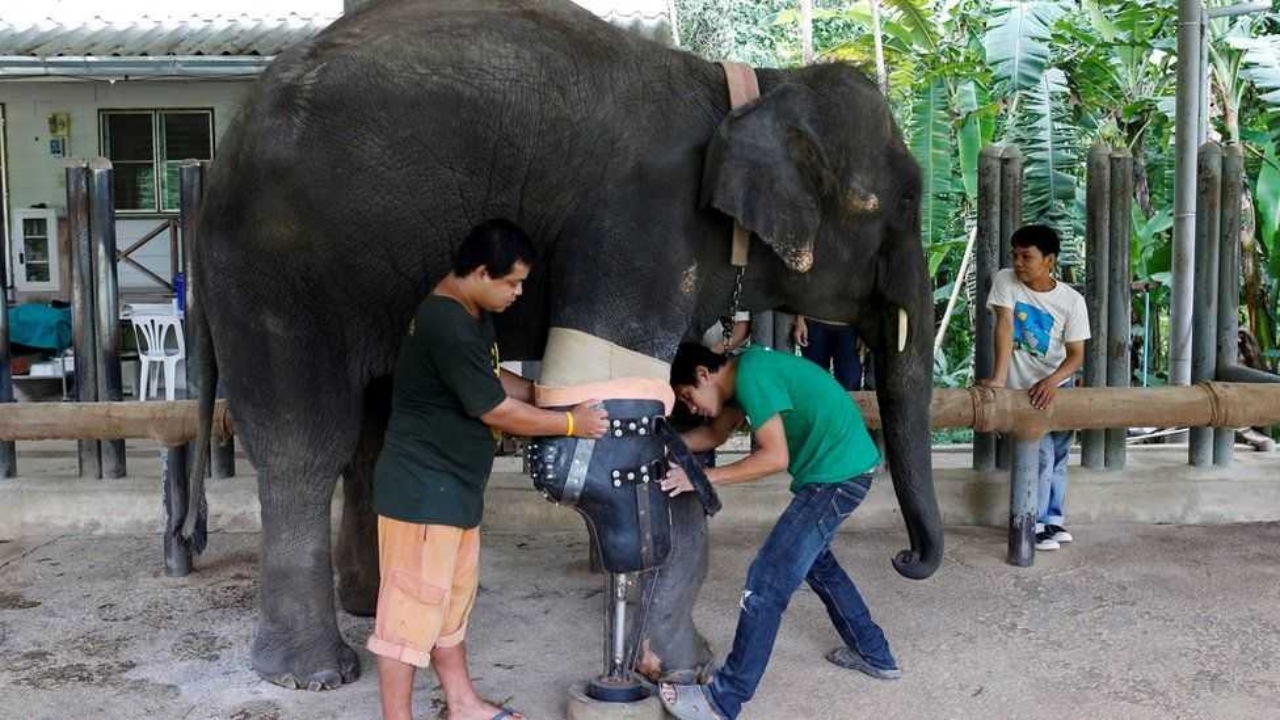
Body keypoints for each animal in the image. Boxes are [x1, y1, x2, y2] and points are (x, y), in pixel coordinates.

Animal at [189, 0, 947, 691]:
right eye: (907, 202)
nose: (907, 562)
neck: (747, 86)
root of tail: (218, 162)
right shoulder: (640, 226)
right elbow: (627, 441)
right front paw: (680, 667)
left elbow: (663, 427)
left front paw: (671, 661)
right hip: (280, 275)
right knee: (304, 442)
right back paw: (313, 673)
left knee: (371, 432)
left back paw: (370, 606)